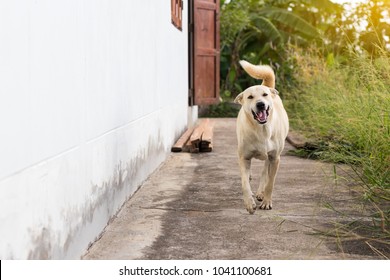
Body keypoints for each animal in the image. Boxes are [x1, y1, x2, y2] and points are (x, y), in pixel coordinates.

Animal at [233, 60, 288, 214]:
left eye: (264, 95)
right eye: (250, 97)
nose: (261, 104)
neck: (262, 130)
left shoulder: (275, 158)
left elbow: (271, 182)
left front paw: (266, 201)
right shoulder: (244, 158)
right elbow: (244, 183)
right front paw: (249, 204)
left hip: (271, 156)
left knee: (265, 170)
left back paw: (260, 192)